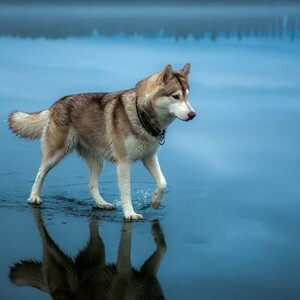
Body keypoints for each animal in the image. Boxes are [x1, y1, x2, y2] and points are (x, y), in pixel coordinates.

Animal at [8, 63, 196, 219]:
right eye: (176, 96)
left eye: (187, 97)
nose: (193, 114)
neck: (141, 114)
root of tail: (55, 104)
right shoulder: (123, 162)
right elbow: (126, 191)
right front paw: (130, 213)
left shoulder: (149, 157)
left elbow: (163, 182)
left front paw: (155, 202)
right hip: (56, 153)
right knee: (40, 172)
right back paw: (34, 197)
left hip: (98, 162)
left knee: (91, 184)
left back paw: (101, 203)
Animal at [9, 209, 166, 300]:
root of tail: (50, 292)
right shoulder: (124, 272)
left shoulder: (148, 275)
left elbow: (163, 248)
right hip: (64, 264)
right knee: (43, 235)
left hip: (98, 250)